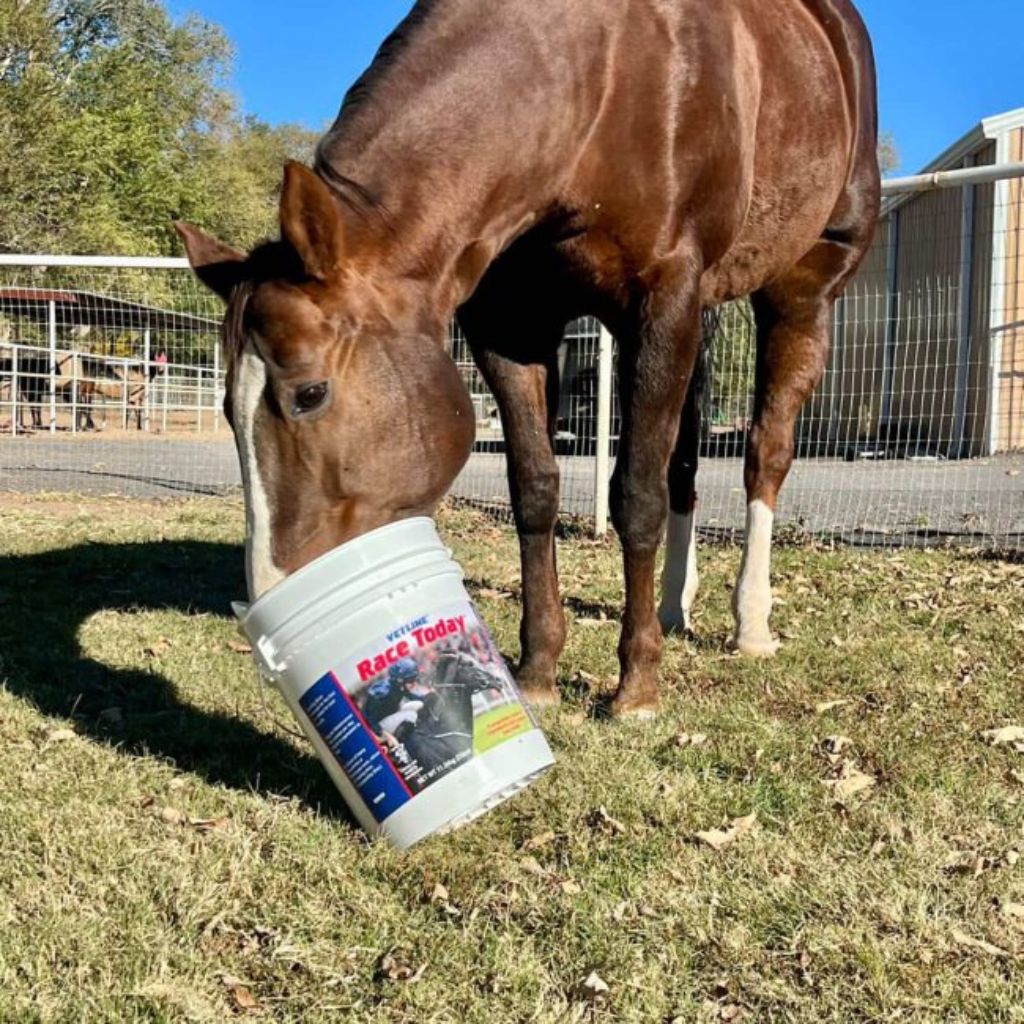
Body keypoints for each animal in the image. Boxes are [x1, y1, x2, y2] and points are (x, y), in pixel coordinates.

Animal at [177, 0, 881, 717]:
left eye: (311, 393)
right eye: (226, 410)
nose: (275, 595)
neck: (589, 84)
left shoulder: (661, 304)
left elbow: (636, 495)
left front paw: (637, 686)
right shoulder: (510, 325)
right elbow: (535, 490)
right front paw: (540, 670)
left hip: (801, 290)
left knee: (765, 451)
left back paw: (751, 621)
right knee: (685, 460)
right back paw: (673, 605)